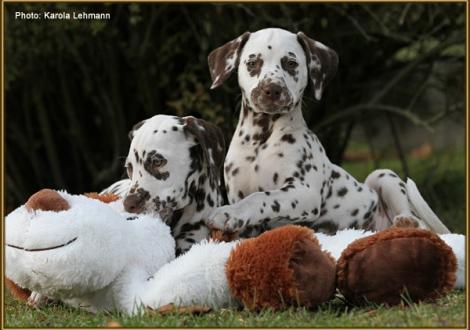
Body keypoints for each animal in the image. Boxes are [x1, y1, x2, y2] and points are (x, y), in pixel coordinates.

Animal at [205, 26, 448, 237]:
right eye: (253, 62)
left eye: (291, 63)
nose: (272, 89)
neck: (261, 138)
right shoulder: (239, 197)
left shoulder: (304, 192)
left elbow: (261, 197)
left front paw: (229, 213)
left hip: (382, 176)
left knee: (419, 223)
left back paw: (406, 222)